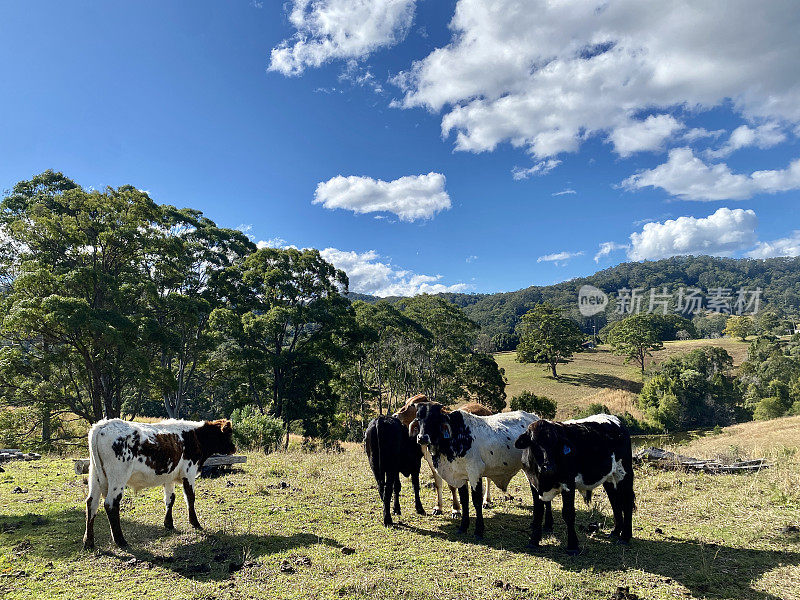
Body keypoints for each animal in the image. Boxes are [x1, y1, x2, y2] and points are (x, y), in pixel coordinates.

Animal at [83, 418, 234, 548]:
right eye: (228, 434)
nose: (234, 448)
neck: (195, 436)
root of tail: (103, 425)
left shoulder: (169, 477)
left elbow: (170, 499)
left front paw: (169, 524)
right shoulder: (189, 472)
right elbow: (190, 498)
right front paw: (195, 523)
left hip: (94, 475)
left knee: (91, 502)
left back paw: (88, 541)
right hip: (118, 476)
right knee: (111, 504)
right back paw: (120, 540)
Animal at [410, 404, 552, 540]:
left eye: (434, 419)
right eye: (418, 418)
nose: (422, 438)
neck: (456, 436)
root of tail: (536, 418)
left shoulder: (474, 473)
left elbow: (476, 501)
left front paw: (478, 531)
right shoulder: (460, 475)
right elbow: (464, 500)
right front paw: (463, 527)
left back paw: (547, 525)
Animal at [512, 414, 636, 556]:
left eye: (556, 444)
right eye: (534, 443)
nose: (548, 467)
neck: (543, 479)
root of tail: (614, 419)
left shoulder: (568, 484)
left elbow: (568, 514)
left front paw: (572, 546)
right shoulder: (533, 485)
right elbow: (537, 513)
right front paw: (533, 541)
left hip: (624, 473)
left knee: (627, 503)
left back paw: (625, 537)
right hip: (610, 478)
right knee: (615, 501)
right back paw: (615, 532)